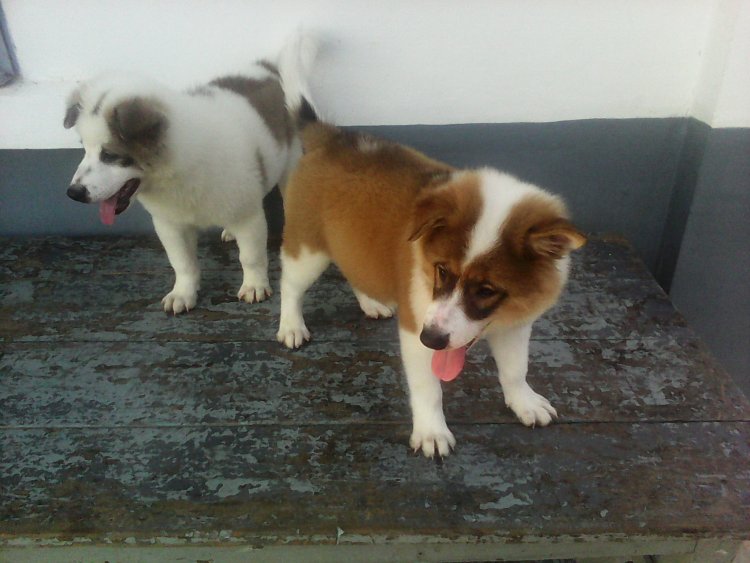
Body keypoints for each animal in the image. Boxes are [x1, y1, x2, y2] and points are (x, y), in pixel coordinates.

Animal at [63, 34, 316, 314]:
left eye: (109, 155)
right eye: (83, 148)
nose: (73, 193)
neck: (176, 170)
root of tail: (268, 67)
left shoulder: (247, 217)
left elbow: (250, 256)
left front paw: (254, 286)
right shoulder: (170, 224)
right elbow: (182, 262)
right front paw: (183, 293)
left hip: (289, 164)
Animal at [276, 121, 586, 458]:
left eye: (486, 290)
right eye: (442, 271)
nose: (433, 339)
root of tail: (332, 136)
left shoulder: (515, 326)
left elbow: (516, 369)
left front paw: (524, 401)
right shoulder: (416, 328)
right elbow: (429, 388)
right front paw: (431, 432)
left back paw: (370, 302)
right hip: (308, 249)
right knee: (290, 285)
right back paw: (291, 326)